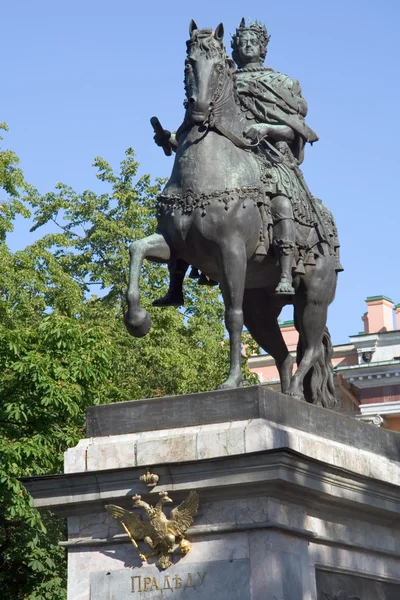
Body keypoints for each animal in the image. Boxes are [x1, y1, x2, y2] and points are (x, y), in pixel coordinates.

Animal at [124, 23, 338, 408]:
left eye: (222, 64)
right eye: (189, 62)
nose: (198, 109)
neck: (206, 169)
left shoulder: (232, 253)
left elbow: (231, 316)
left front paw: (232, 382)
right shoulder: (175, 246)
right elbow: (137, 249)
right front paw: (137, 320)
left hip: (314, 298)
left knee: (310, 348)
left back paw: (295, 393)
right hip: (262, 308)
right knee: (284, 353)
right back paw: (287, 394)